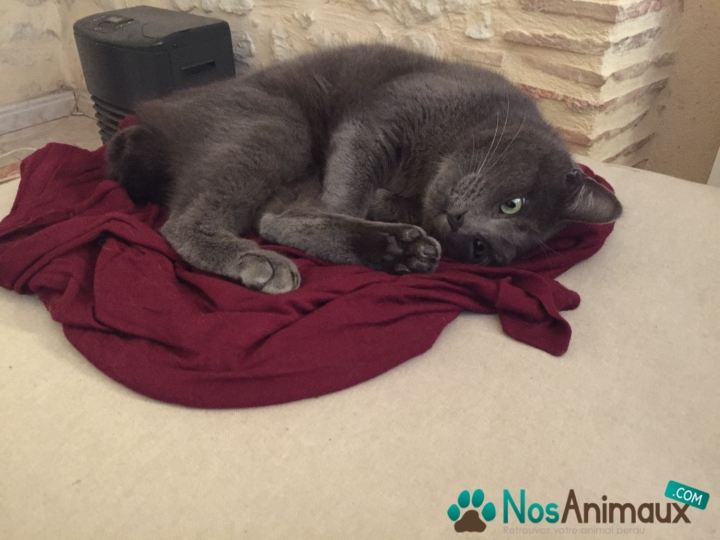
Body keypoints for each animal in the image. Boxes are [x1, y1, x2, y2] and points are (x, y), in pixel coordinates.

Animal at [106, 43, 622, 294]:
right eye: (513, 204)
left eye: (482, 249)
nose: (464, 227)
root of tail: (150, 119)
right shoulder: (379, 122)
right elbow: (342, 196)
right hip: (278, 125)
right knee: (191, 224)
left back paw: (398, 249)